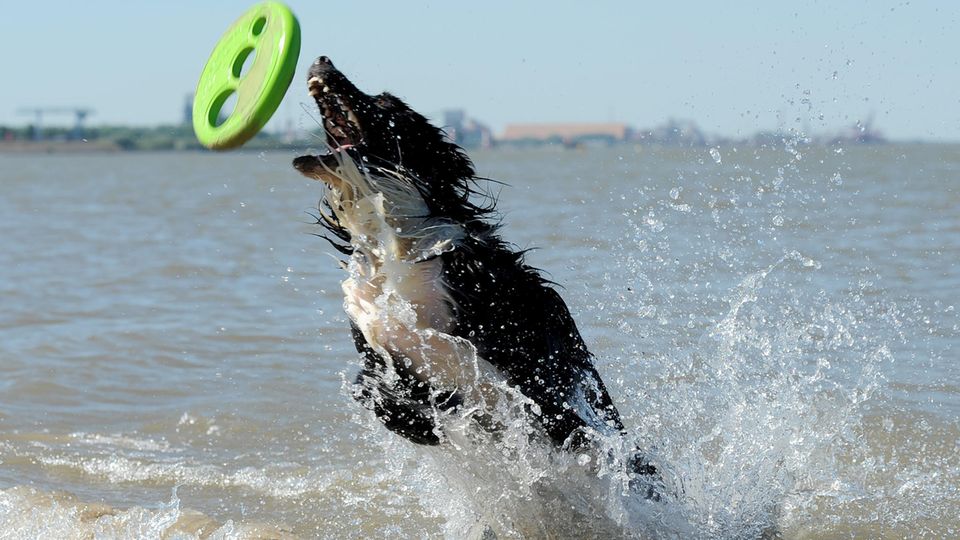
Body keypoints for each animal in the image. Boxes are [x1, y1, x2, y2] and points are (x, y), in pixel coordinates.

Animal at [290, 57, 660, 492]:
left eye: (384, 102)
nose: (322, 60)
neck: (397, 245)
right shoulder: (378, 346)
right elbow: (367, 388)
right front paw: (421, 426)